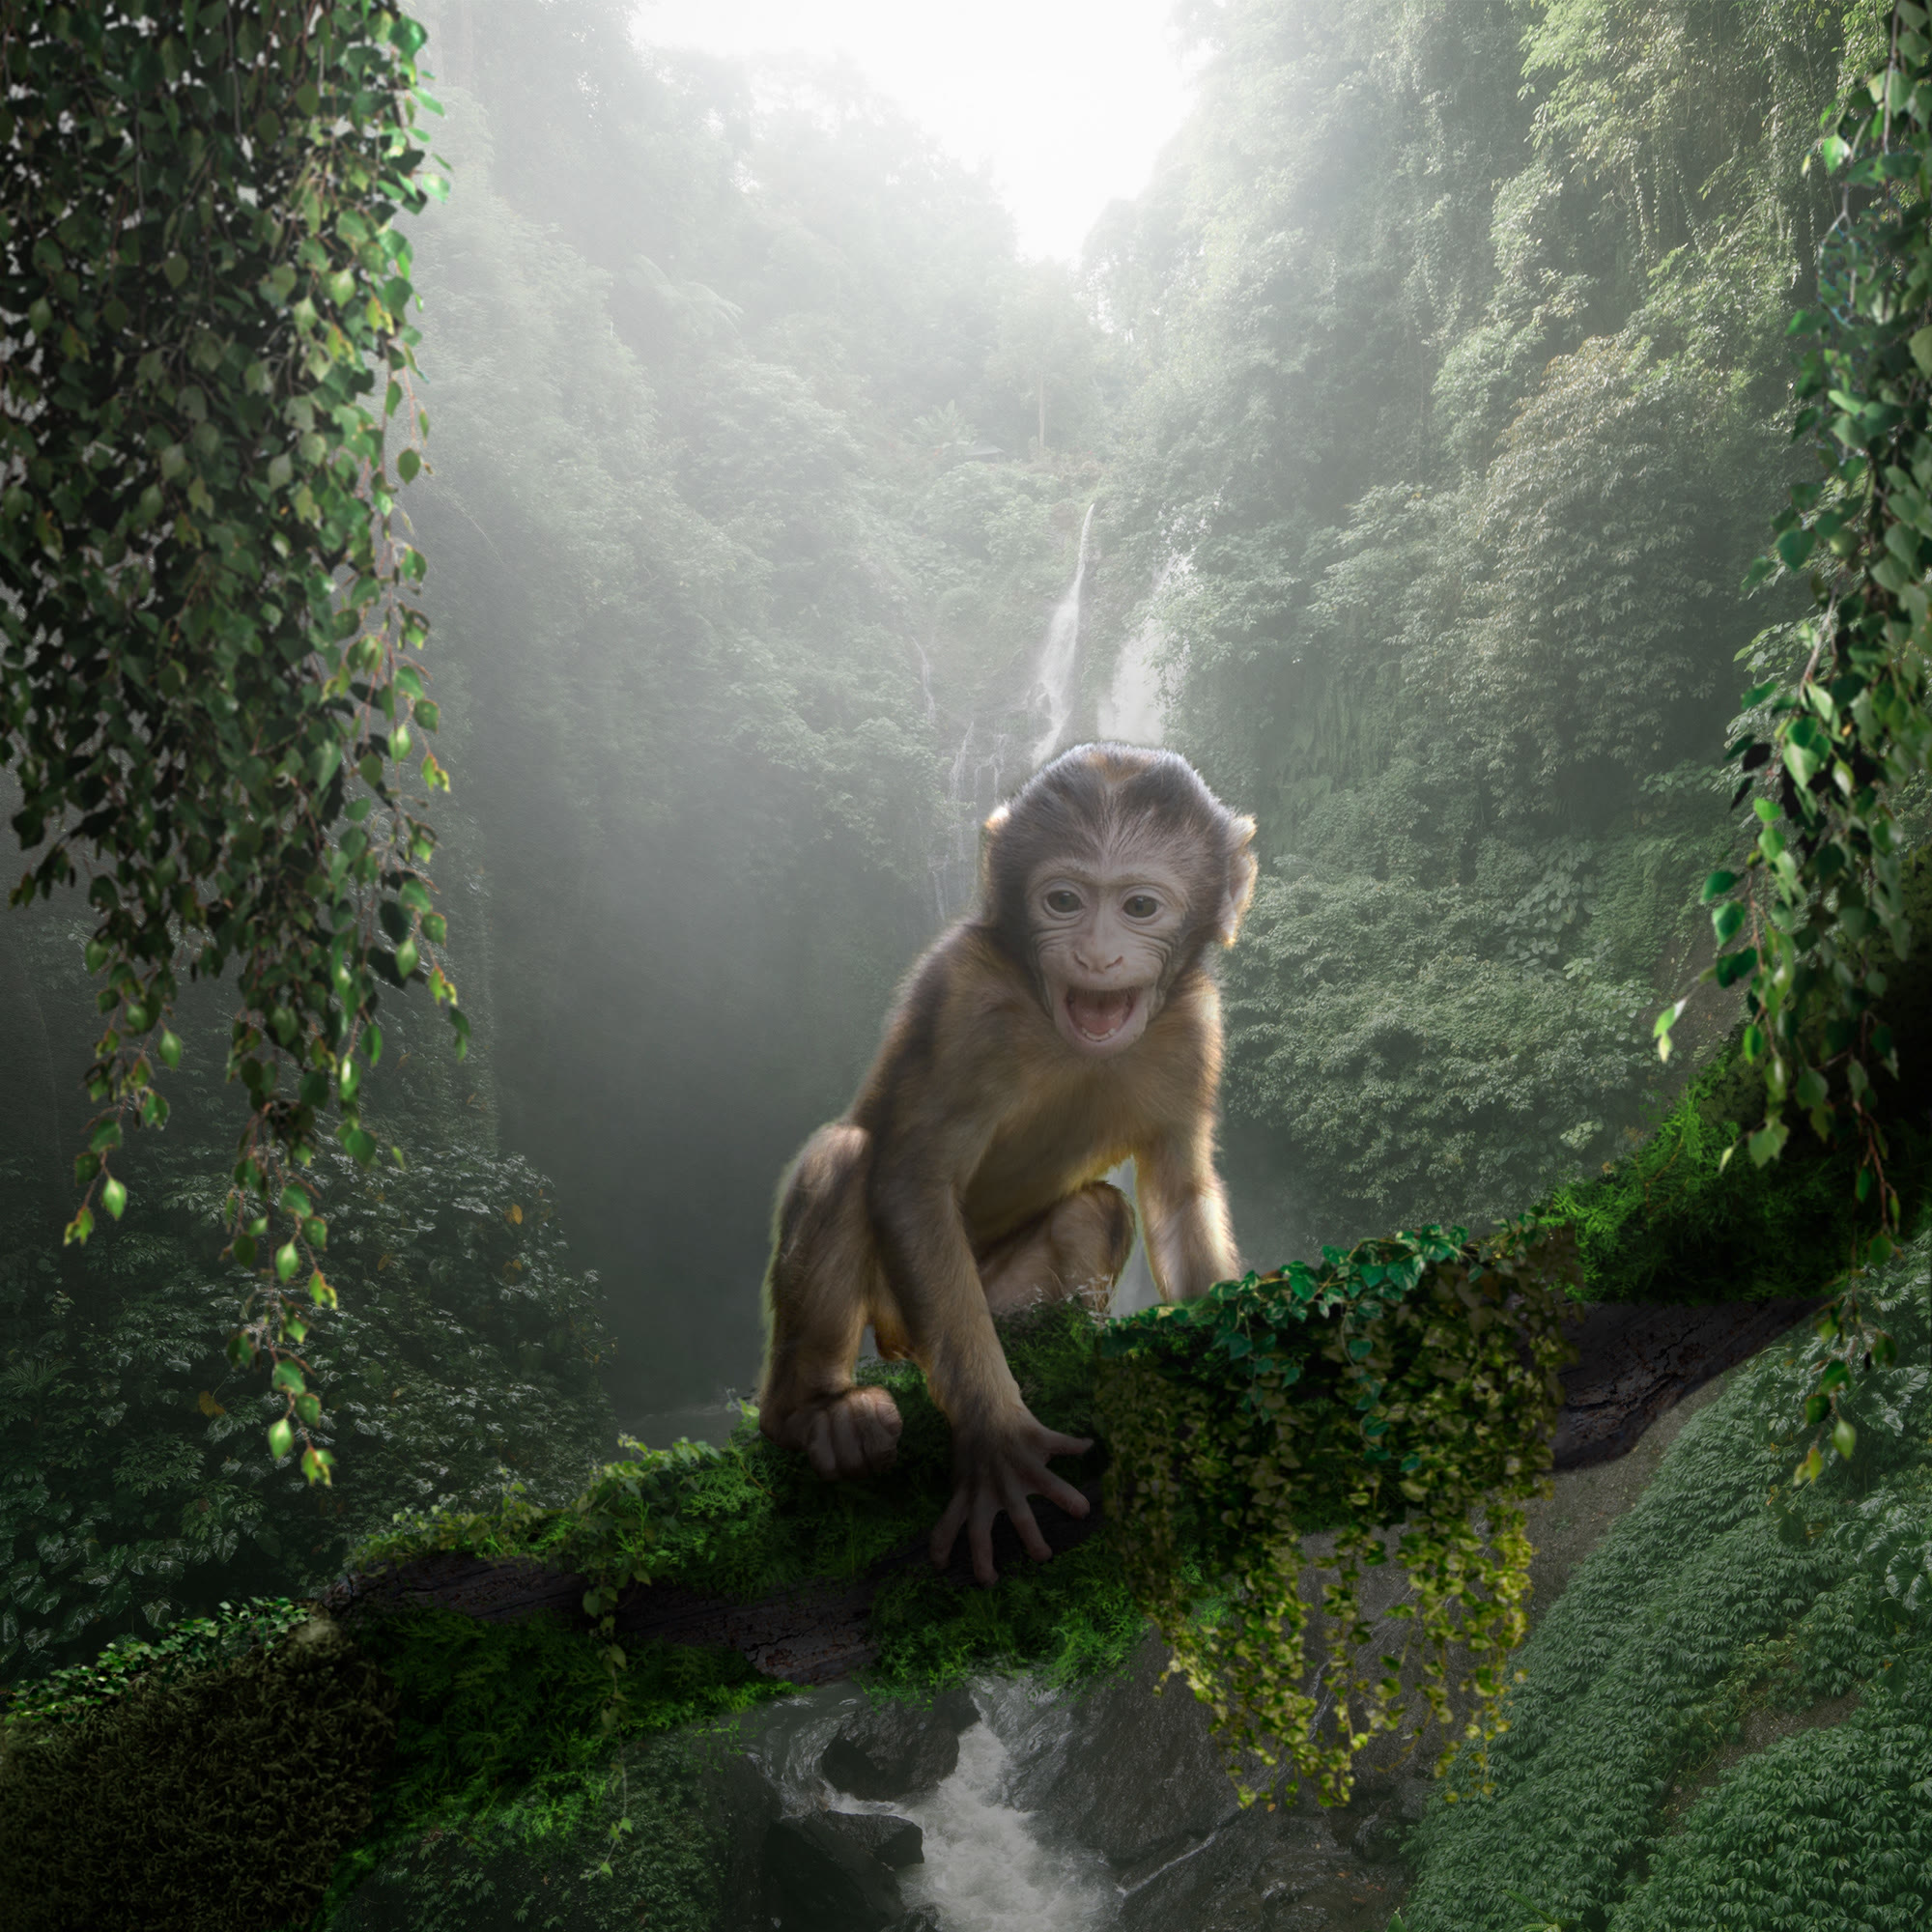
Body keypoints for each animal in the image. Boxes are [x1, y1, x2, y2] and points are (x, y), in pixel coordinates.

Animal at [757, 742, 1258, 1586]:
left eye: (1139, 907)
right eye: (1062, 900)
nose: (1095, 952)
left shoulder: (1194, 1025)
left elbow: (1180, 1190)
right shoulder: (962, 996)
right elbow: (913, 1180)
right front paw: (996, 1440)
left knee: (1097, 1208)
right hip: (904, 1313)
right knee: (848, 1159)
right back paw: (816, 1414)